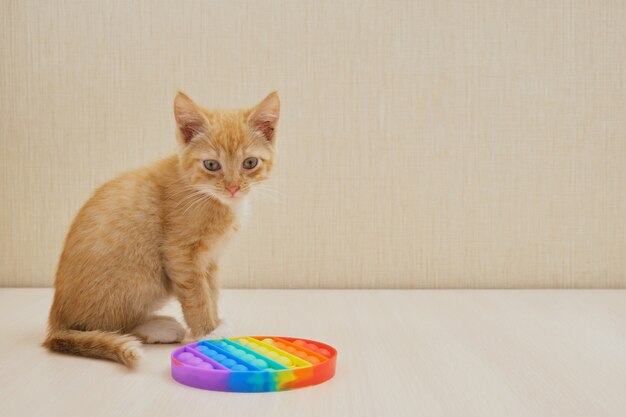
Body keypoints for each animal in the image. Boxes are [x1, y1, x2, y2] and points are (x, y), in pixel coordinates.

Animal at [44, 91, 278, 364]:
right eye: (211, 165)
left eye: (250, 163)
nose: (233, 187)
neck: (204, 194)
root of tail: (56, 321)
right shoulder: (180, 254)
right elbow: (197, 296)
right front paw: (208, 333)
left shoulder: (209, 259)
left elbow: (211, 291)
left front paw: (216, 323)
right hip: (142, 279)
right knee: (107, 326)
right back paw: (157, 328)